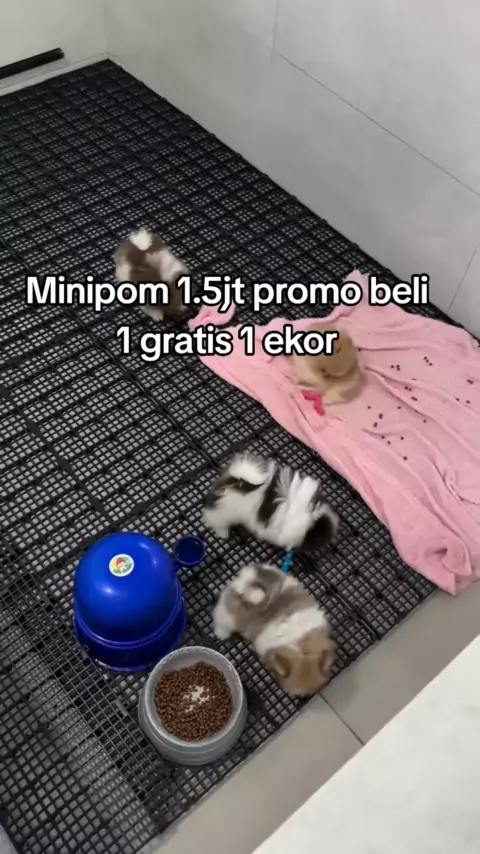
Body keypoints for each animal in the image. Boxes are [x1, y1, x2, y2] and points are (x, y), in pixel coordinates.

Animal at [203, 452, 338, 552]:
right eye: (317, 535)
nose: (330, 536)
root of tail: (236, 480)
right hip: (224, 513)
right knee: (215, 519)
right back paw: (223, 533)